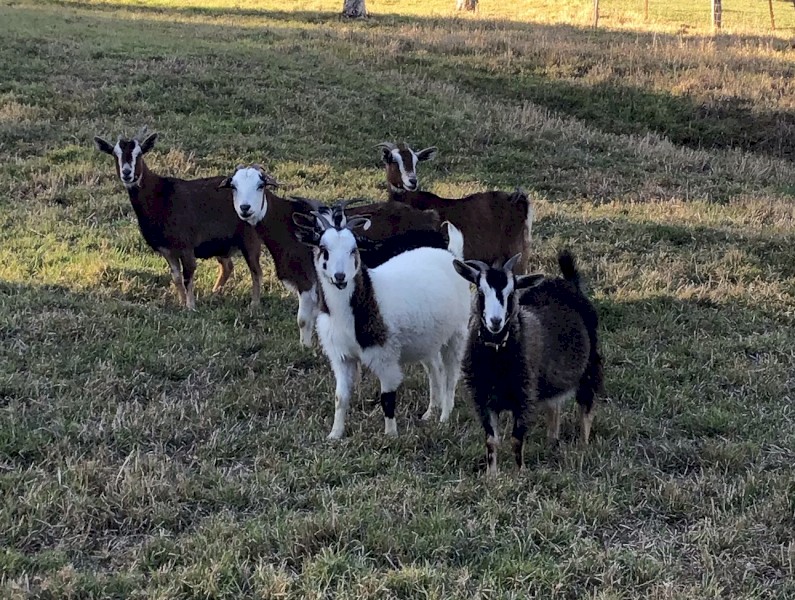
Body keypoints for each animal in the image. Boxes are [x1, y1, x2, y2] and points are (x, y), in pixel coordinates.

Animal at [93, 129, 262, 309]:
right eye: (115, 154)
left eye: (139, 154)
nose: (127, 173)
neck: (160, 195)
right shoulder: (167, 250)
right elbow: (176, 277)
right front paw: (181, 303)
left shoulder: (186, 246)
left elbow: (188, 276)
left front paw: (191, 307)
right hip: (221, 243)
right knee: (228, 266)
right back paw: (214, 293)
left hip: (249, 238)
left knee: (256, 271)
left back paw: (254, 304)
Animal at [222, 166, 445, 346]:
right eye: (233, 186)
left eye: (260, 185)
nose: (245, 208)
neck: (289, 227)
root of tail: (430, 217)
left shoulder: (306, 280)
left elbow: (303, 319)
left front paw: (305, 348)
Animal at [294, 202, 471, 440]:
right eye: (323, 248)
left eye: (353, 250)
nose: (340, 277)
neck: (366, 297)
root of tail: (451, 254)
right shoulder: (341, 356)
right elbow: (340, 397)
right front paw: (335, 434)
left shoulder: (385, 355)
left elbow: (387, 397)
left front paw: (391, 436)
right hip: (426, 339)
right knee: (435, 368)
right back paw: (430, 412)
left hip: (457, 331)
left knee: (451, 374)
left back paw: (444, 417)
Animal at [453, 250, 603, 476]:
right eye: (480, 290)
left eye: (511, 292)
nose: (495, 322)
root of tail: (569, 283)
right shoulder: (483, 399)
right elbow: (491, 440)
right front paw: (491, 476)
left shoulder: (524, 398)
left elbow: (516, 440)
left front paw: (519, 473)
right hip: (550, 377)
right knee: (554, 405)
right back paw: (552, 442)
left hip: (590, 365)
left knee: (587, 406)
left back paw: (582, 446)